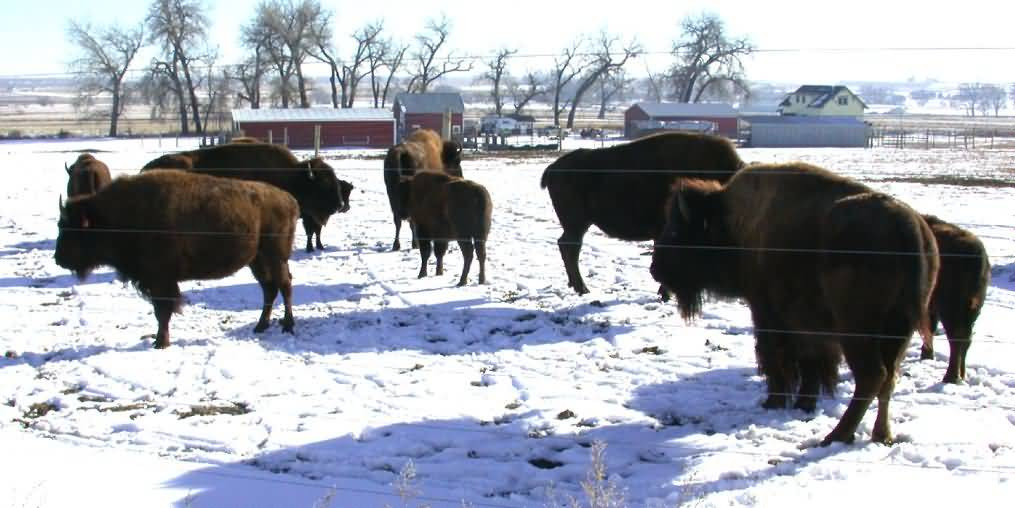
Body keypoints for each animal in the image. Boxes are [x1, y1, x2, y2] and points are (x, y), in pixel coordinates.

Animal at [55, 170, 298, 349]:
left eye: (72, 229)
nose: (58, 258)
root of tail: (289, 199)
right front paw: (159, 340)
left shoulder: (161, 280)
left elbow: (163, 311)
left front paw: (160, 343)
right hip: (257, 260)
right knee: (269, 288)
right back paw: (261, 326)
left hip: (275, 257)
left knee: (284, 285)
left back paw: (287, 326)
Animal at [539, 132, 747, 294]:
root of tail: (553, 168)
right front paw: (665, 293)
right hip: (577, 223)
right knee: (570, 247)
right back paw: (582, 288)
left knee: (567, 246)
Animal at [653, 162, 937, 445]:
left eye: (676, 231)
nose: (655, 269)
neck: (731, 220)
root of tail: (906, 226)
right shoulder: (808, 327)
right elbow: (811, 364)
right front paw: (804, 404)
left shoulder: (767, 314)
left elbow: (775, 357)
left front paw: (774, 402)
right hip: (899, 328)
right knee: (889, 376)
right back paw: (881, 435)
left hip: (857, 329)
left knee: (872, 375)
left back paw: (836, 435)